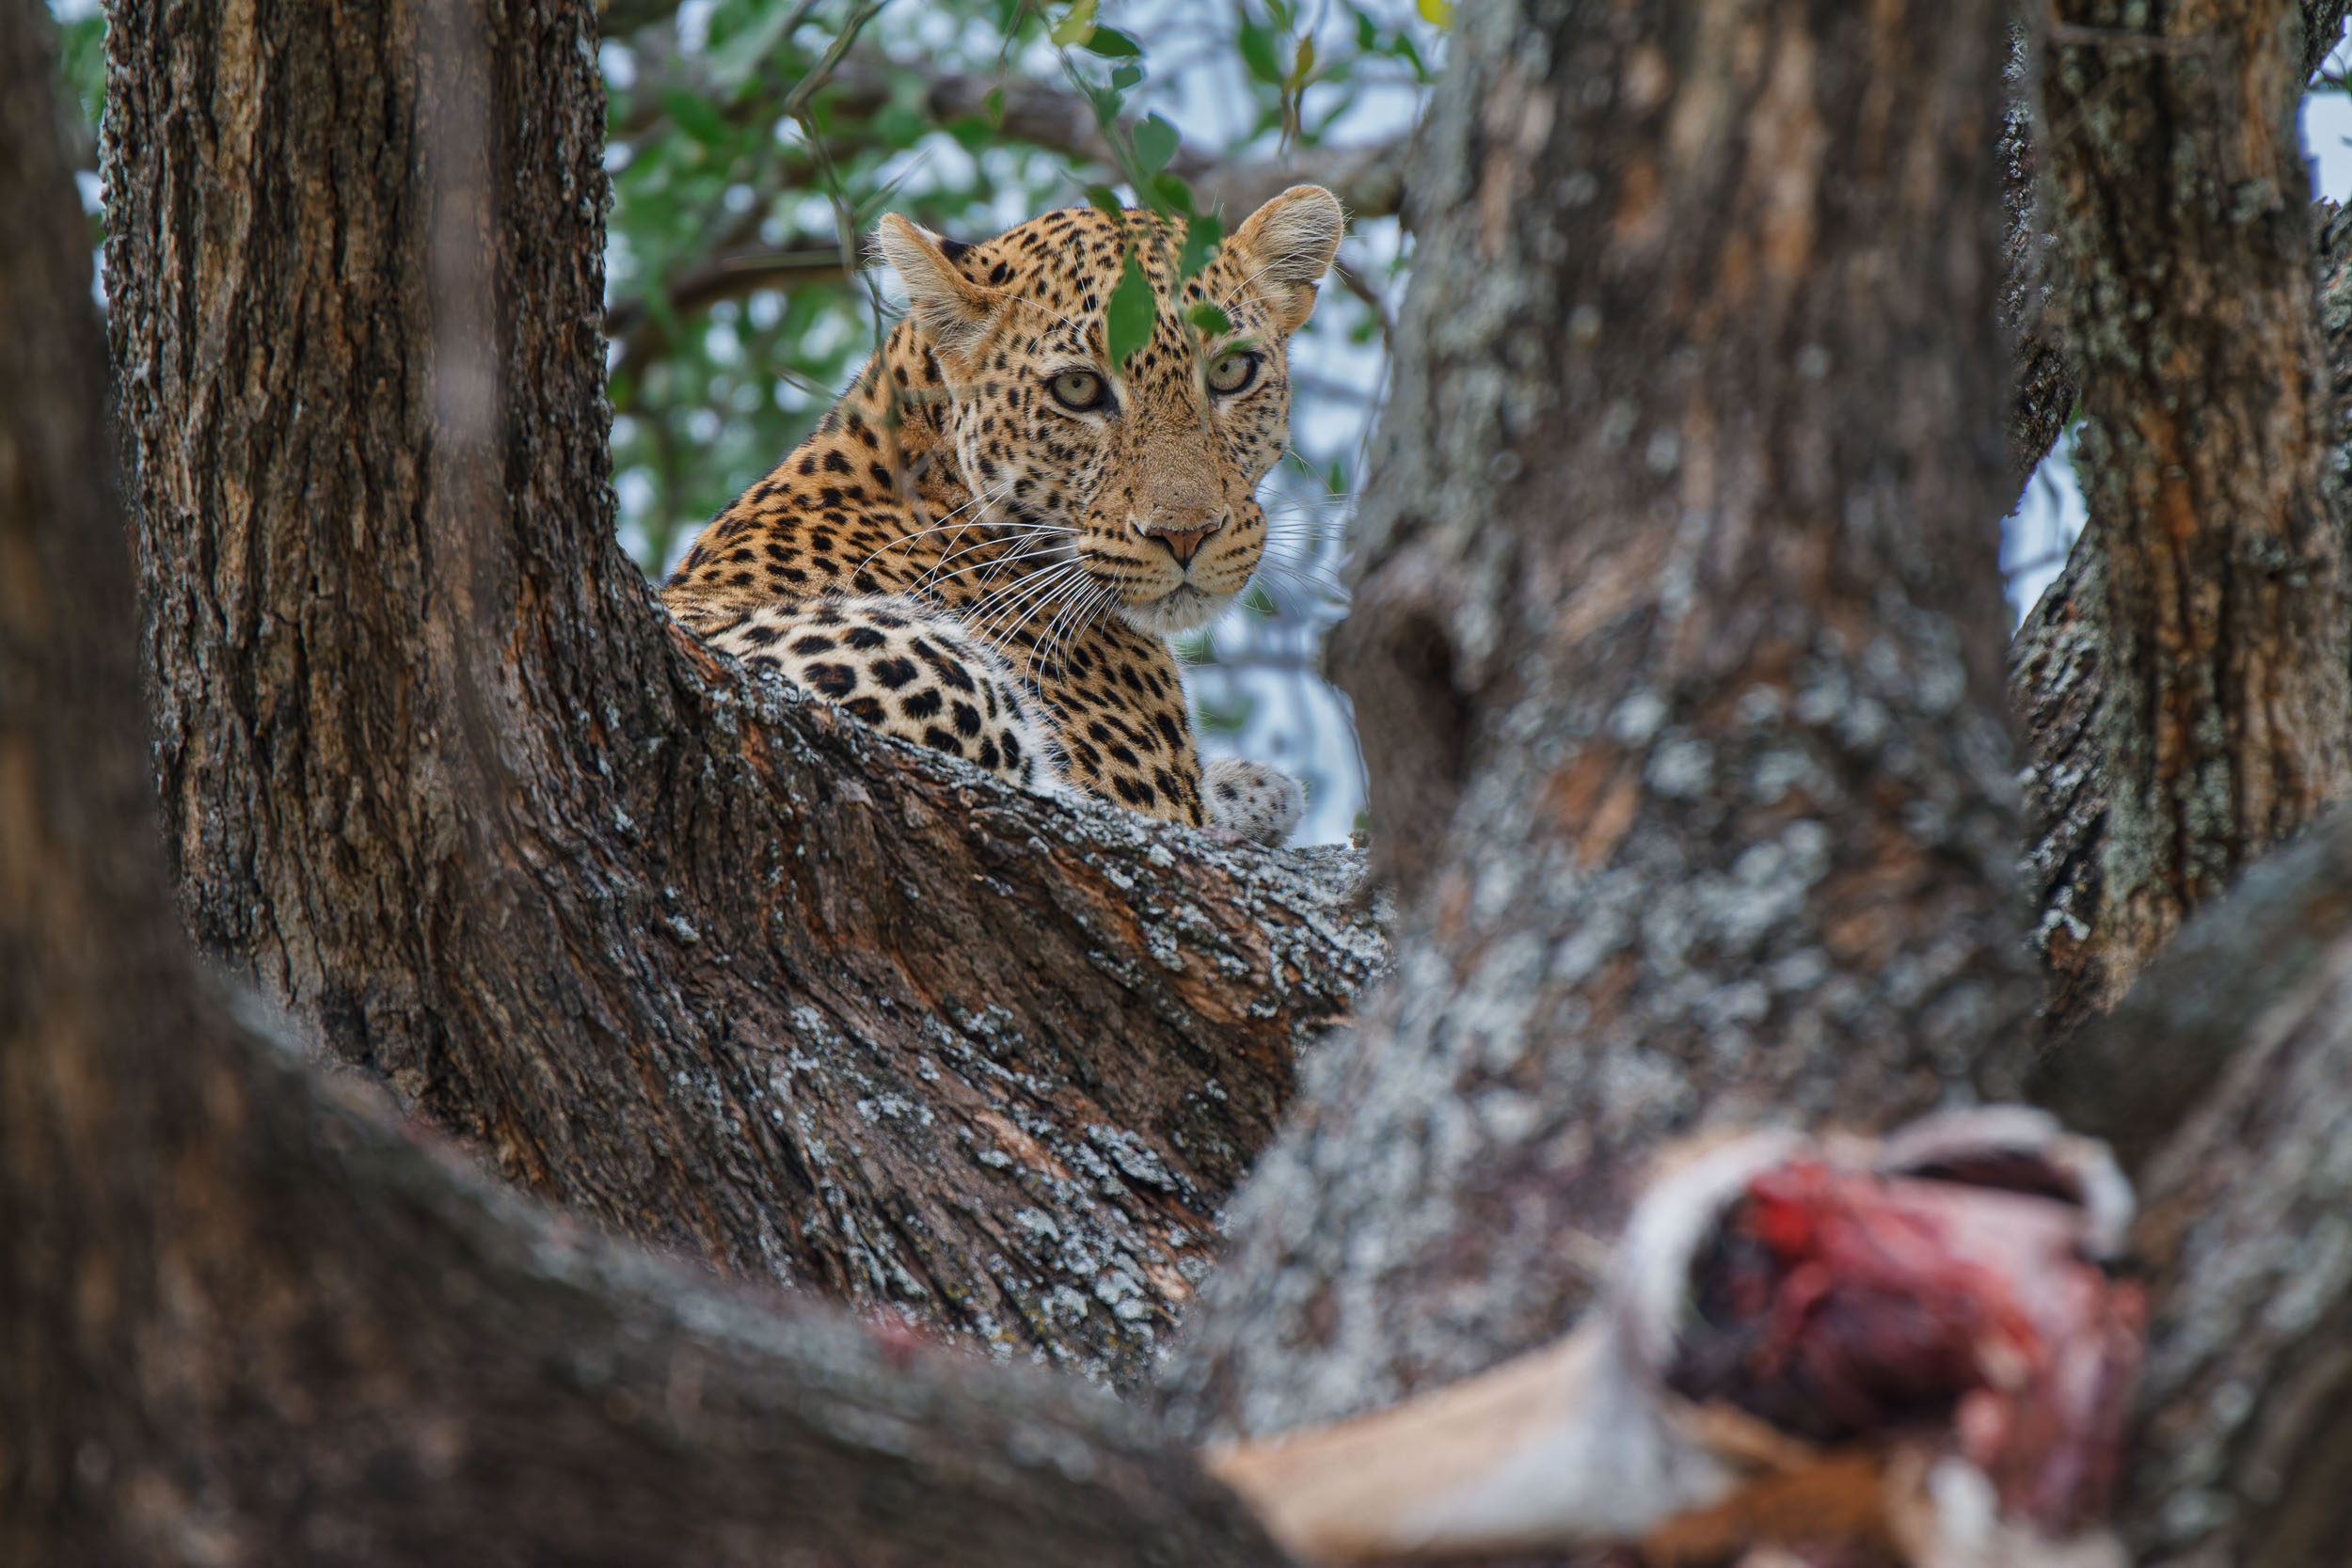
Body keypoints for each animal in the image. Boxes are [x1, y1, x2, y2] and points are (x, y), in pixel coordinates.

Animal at [659, 184, 1345, 845]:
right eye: (1077, 388)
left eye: (1231, 370)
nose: (1185, 536)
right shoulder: (1153, 798)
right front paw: (1254, 790)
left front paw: (1257, 786)